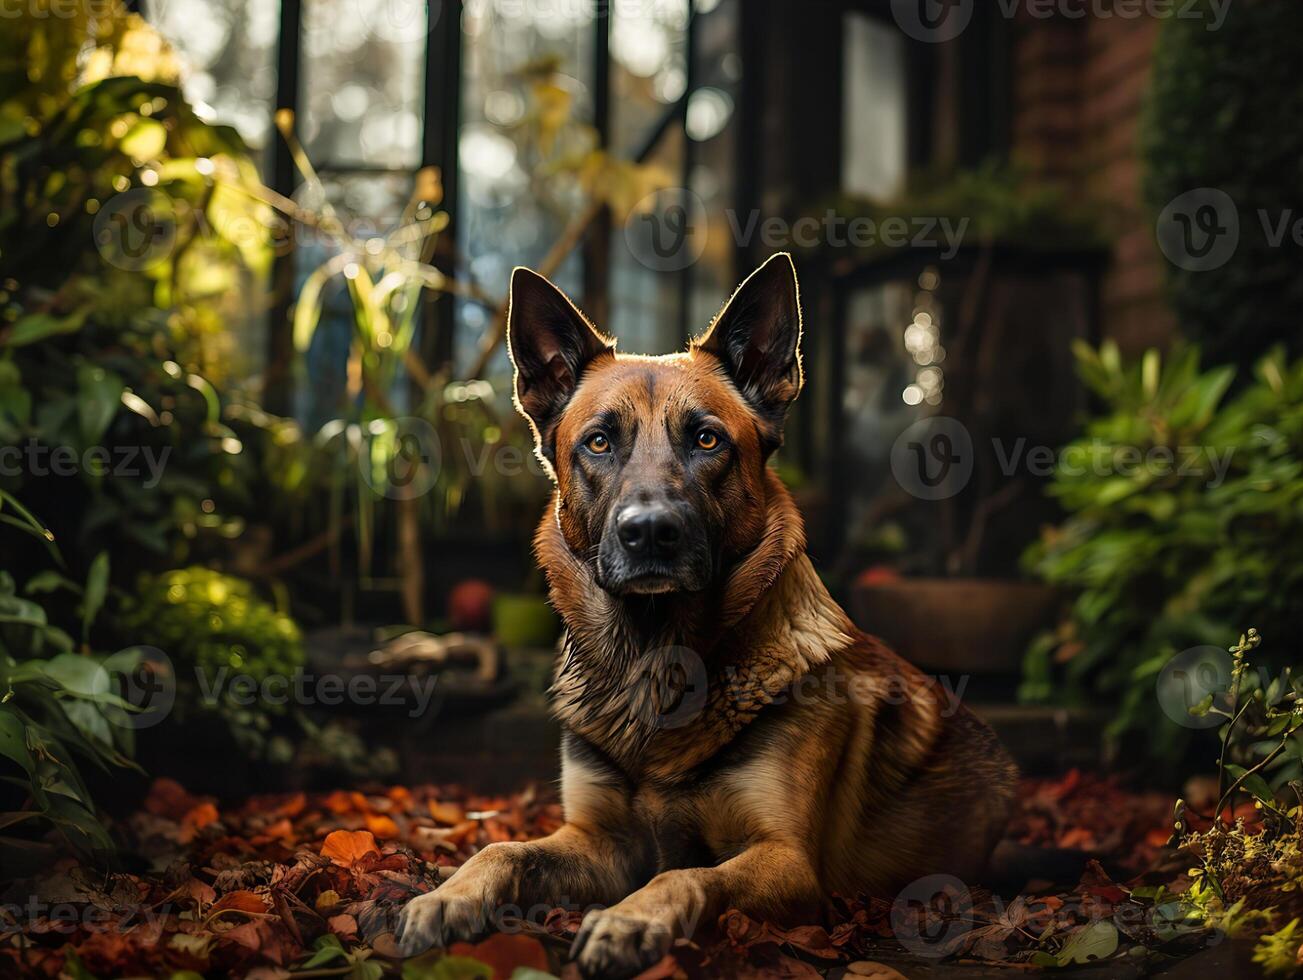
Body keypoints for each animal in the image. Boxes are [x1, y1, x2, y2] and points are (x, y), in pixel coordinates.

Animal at [396, 250, 1016, 974]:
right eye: (599, 443)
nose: (649, 533)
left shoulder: (787, 862)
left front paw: (630, 920)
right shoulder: (596, 841)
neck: (653, 658)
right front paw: (448, 897)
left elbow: (686, 875)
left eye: (707, 440)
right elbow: (502, 849)